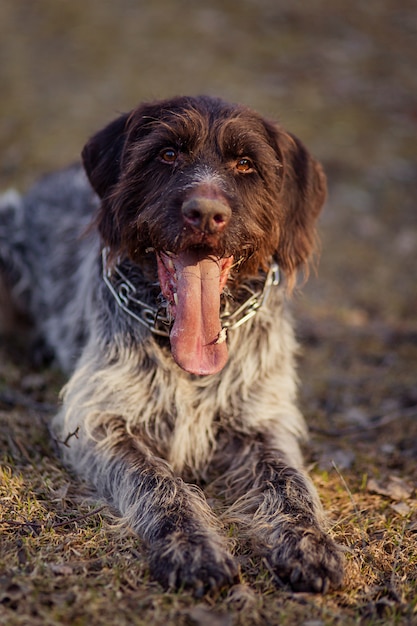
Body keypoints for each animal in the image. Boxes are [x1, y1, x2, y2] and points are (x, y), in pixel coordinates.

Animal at [0, 95, 342, 592]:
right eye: (167, 153)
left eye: (246, 163)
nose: (205, 213)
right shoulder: (97, 419)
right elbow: (159, 482)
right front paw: (191, 546)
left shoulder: (263, 419)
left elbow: (290, 482)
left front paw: (309, 541)